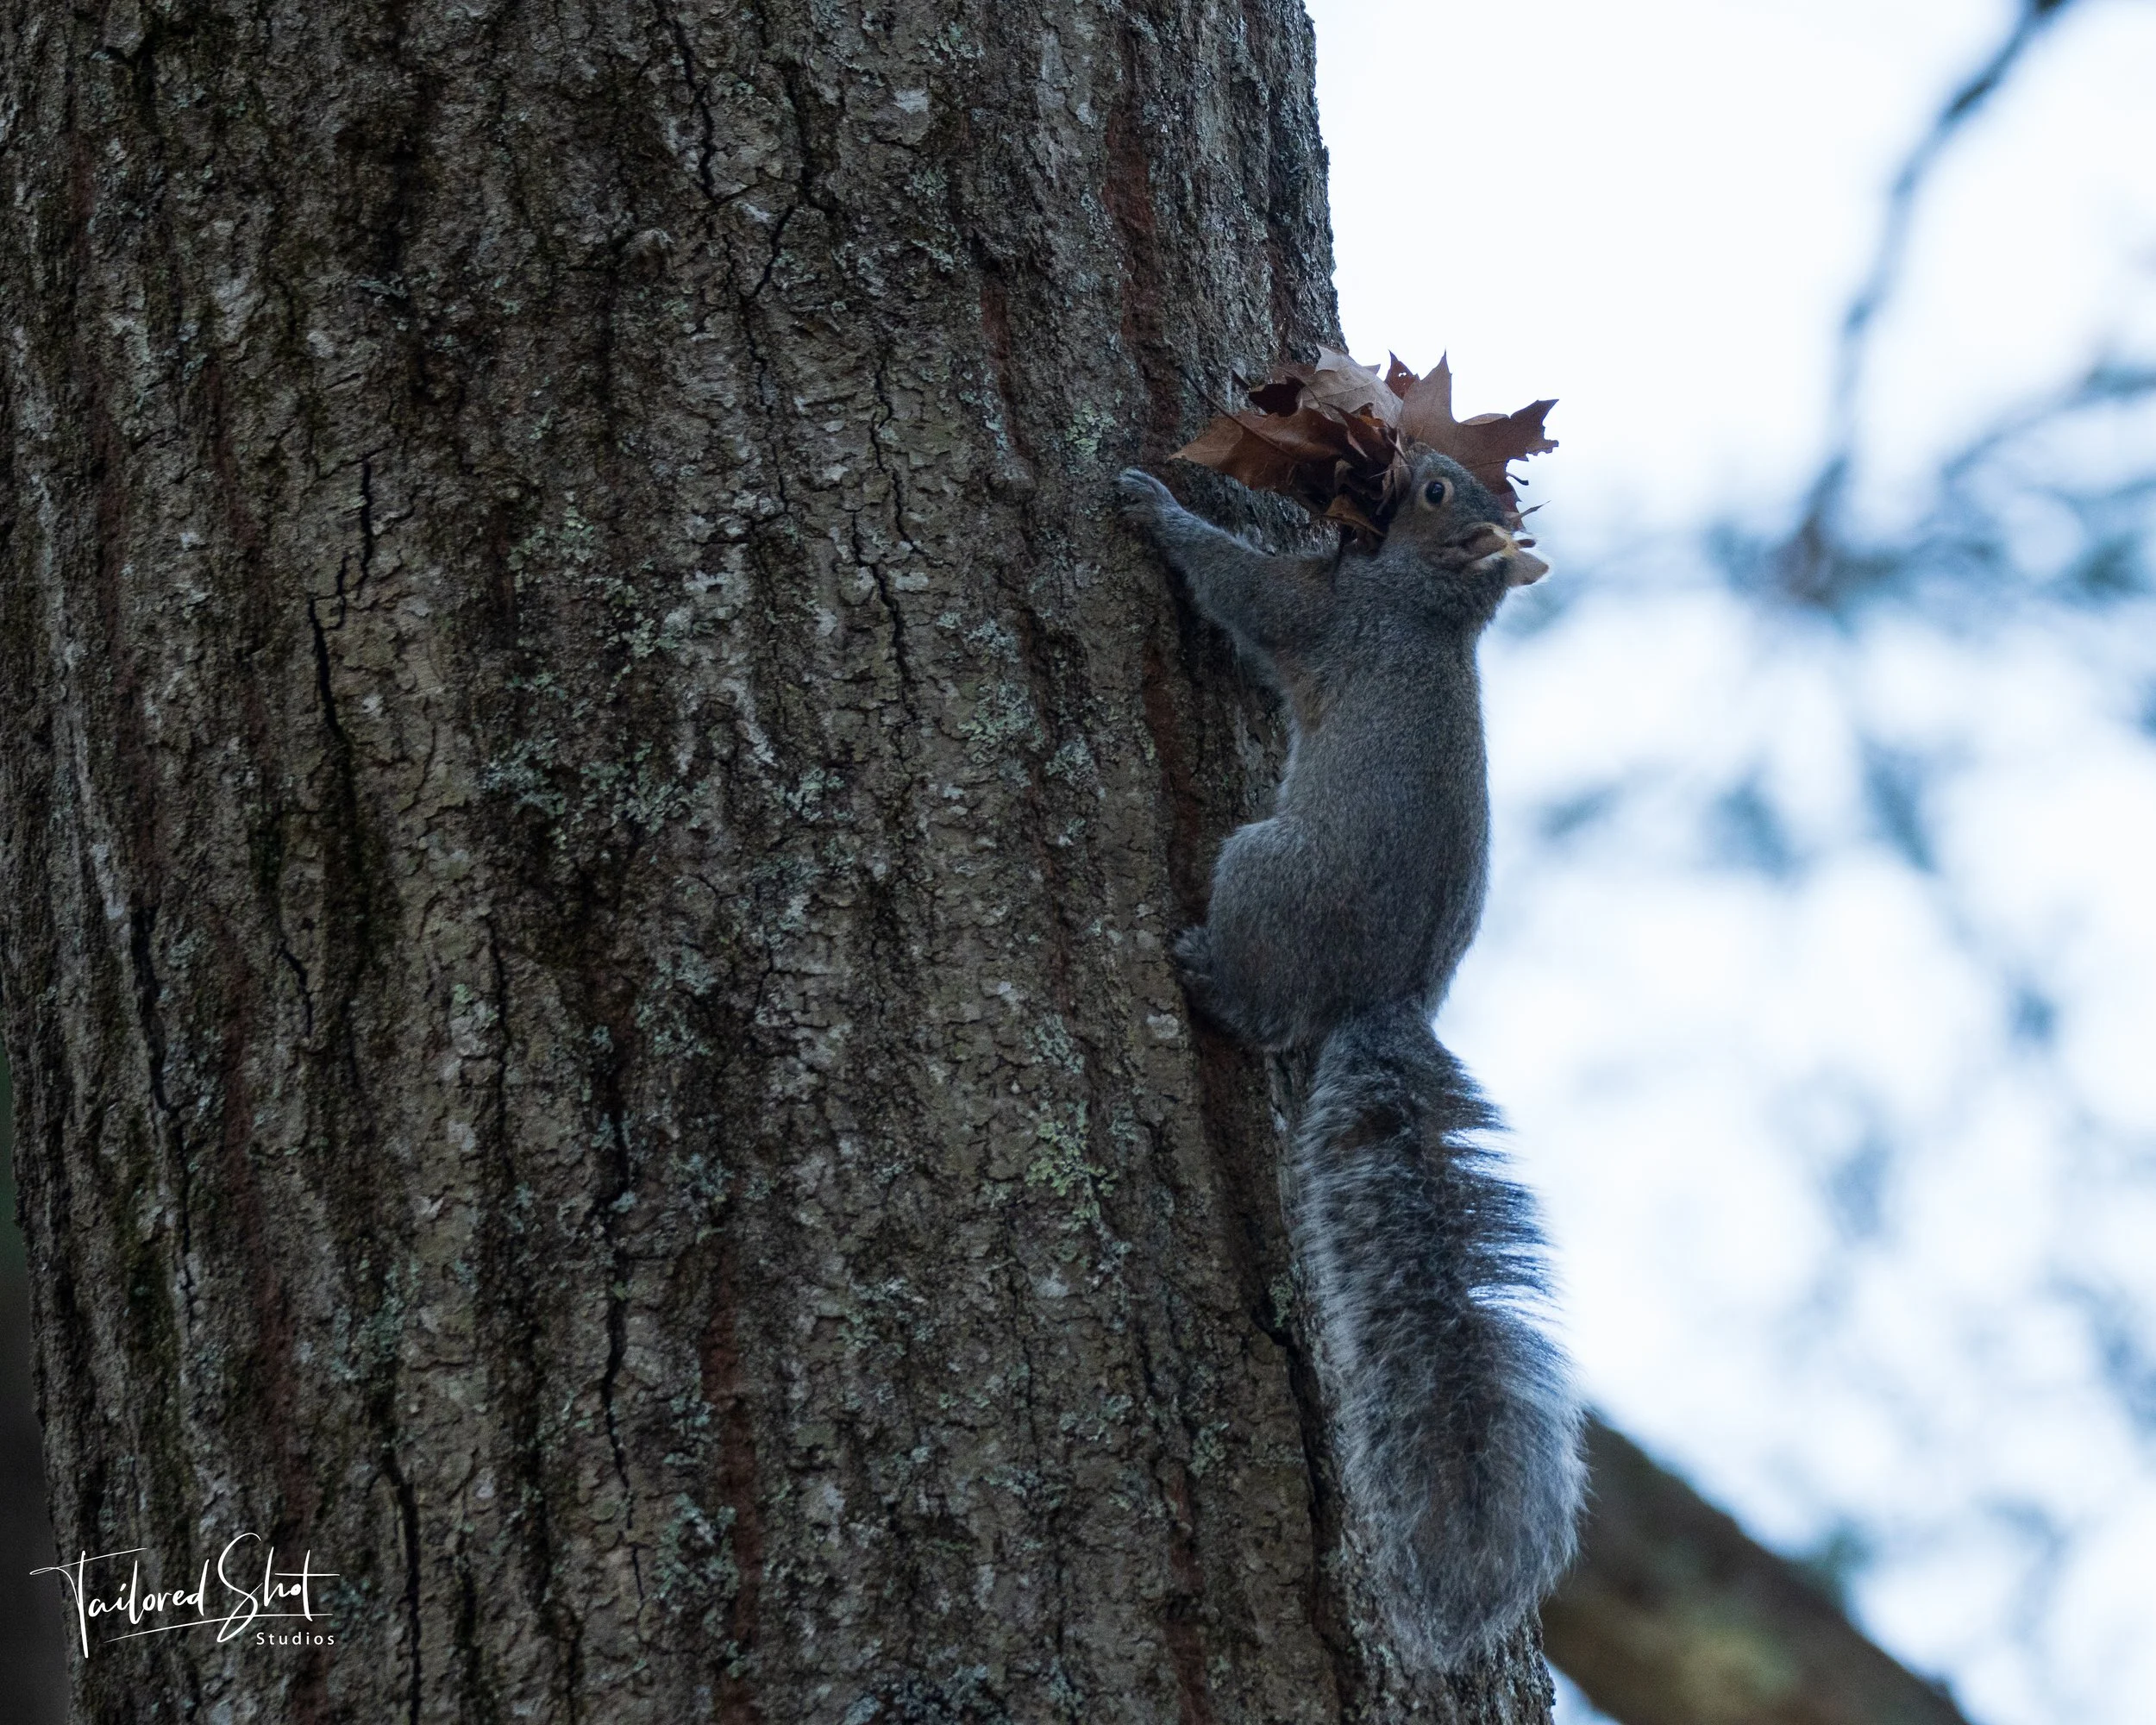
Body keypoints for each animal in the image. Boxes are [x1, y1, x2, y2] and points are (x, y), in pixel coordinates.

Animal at [1116, 450, 1584, 1670]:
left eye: (1435, 498)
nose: (1411, 461)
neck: (1430, 606)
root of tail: (1387, 999)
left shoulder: (1327, 614)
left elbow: (1246, 590)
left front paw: (1155, 506)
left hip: (1267, 870)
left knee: (1266, 1010)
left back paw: (1205, 973)